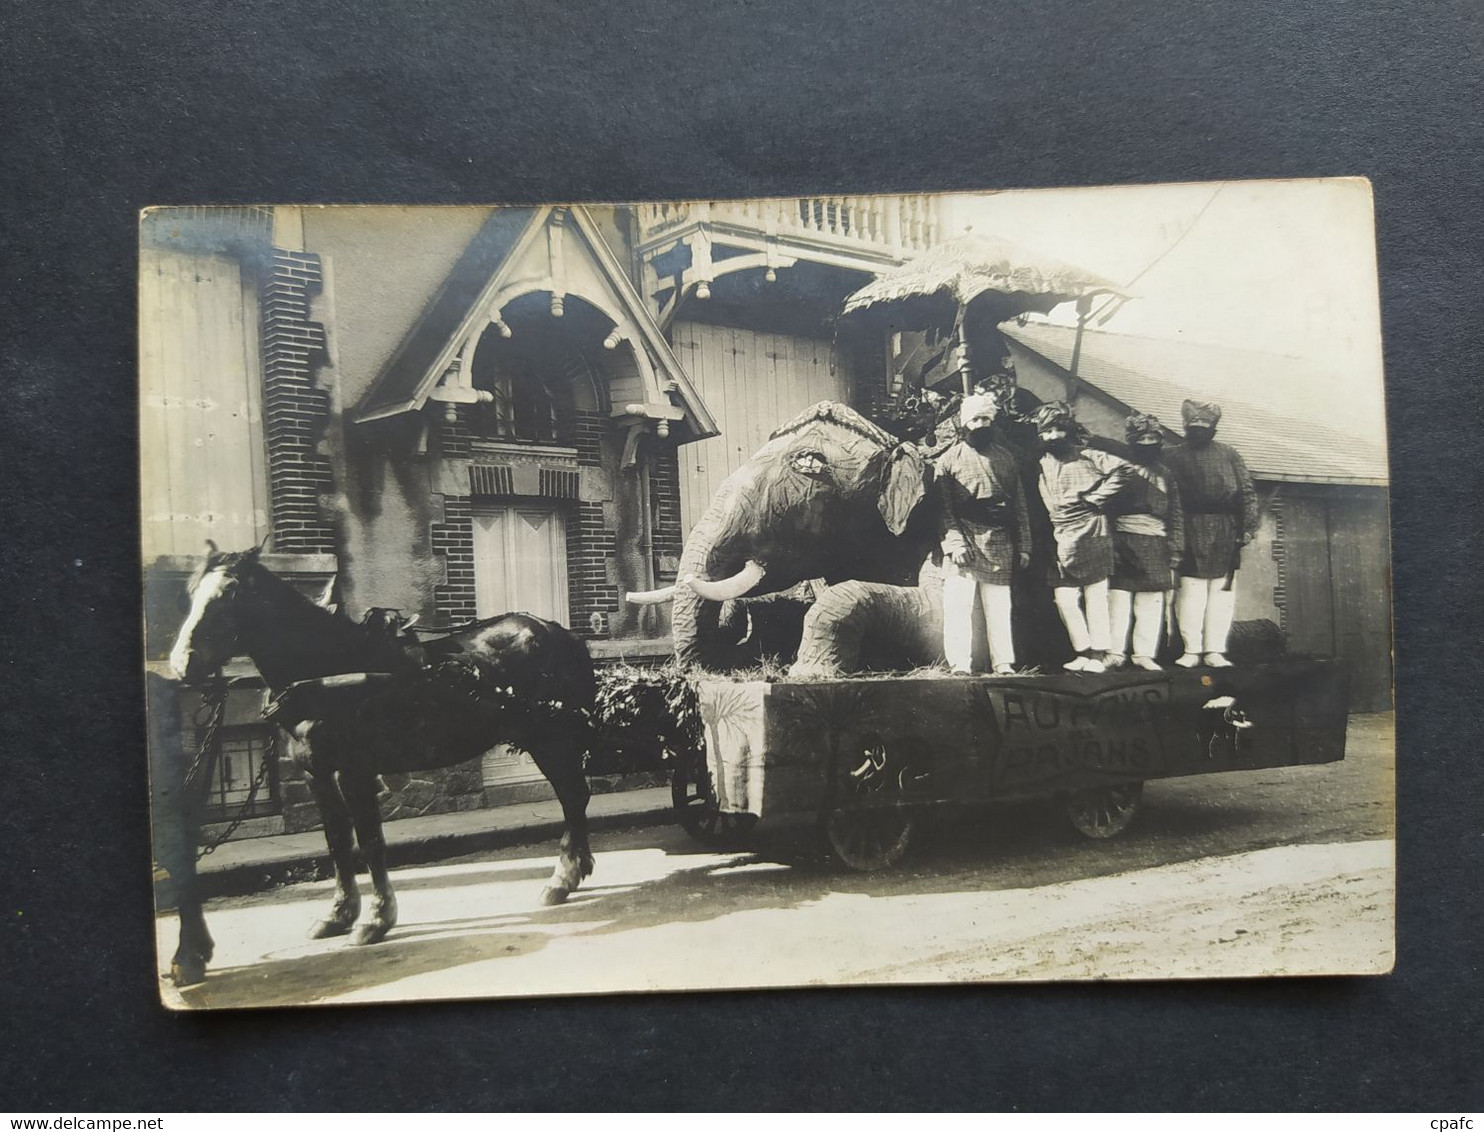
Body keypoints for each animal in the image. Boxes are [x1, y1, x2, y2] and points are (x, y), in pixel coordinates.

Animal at [166, 548, 596, 985]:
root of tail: (559, 632)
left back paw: (562, 878)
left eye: (230, 594)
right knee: (574, 797)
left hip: (549, 736)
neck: (325, 673)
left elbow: (370, 843)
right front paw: (338, 914)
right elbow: (338, 843)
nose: (182, 664)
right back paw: (576, 870)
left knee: (572, 796)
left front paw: (375, 919)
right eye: (191, 593)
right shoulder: (317, 775)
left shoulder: (355, 772)